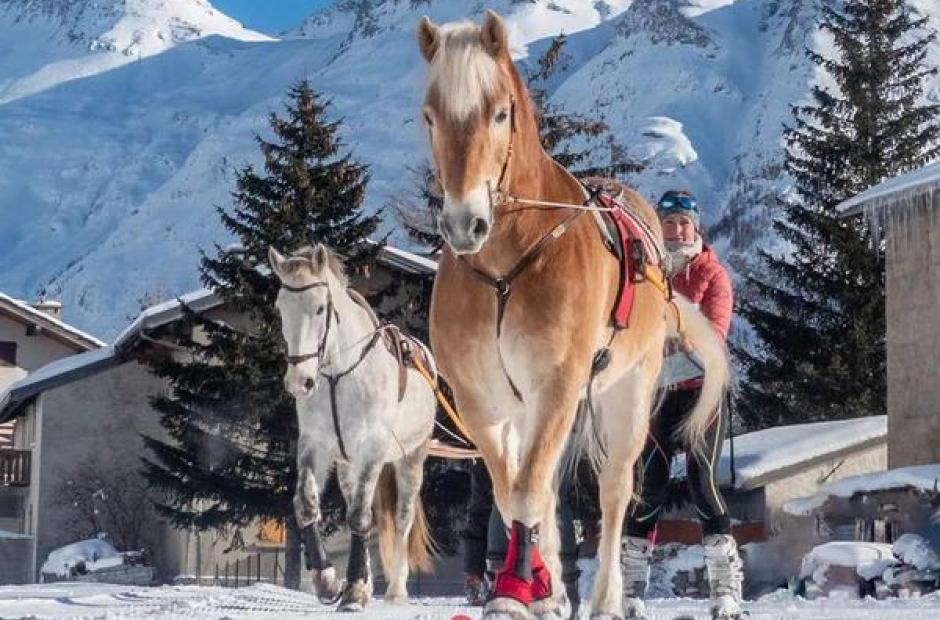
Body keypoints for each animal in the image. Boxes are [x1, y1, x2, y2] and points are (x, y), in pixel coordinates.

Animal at [269, 244, 437, 611]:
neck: (338, 374)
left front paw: (356, 590)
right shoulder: (315, 443)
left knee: (401, 519)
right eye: (280, 308)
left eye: (320, 308)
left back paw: (396, 588)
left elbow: (360, 516)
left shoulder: (372, 447)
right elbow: (306, 504)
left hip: (411, 458)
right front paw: (328, 581)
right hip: (347, 464)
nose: (299, 381)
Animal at [416, 11, 729, 619]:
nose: (465, 224)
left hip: (627, 392)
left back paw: (607, 596)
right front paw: (537, 587)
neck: (506, 267)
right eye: (430, 115)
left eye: (499, 112)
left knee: (615, 491)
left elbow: (530, 489)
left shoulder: (558, 383)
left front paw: (515, 589)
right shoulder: (481, 399)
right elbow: (513, 491)